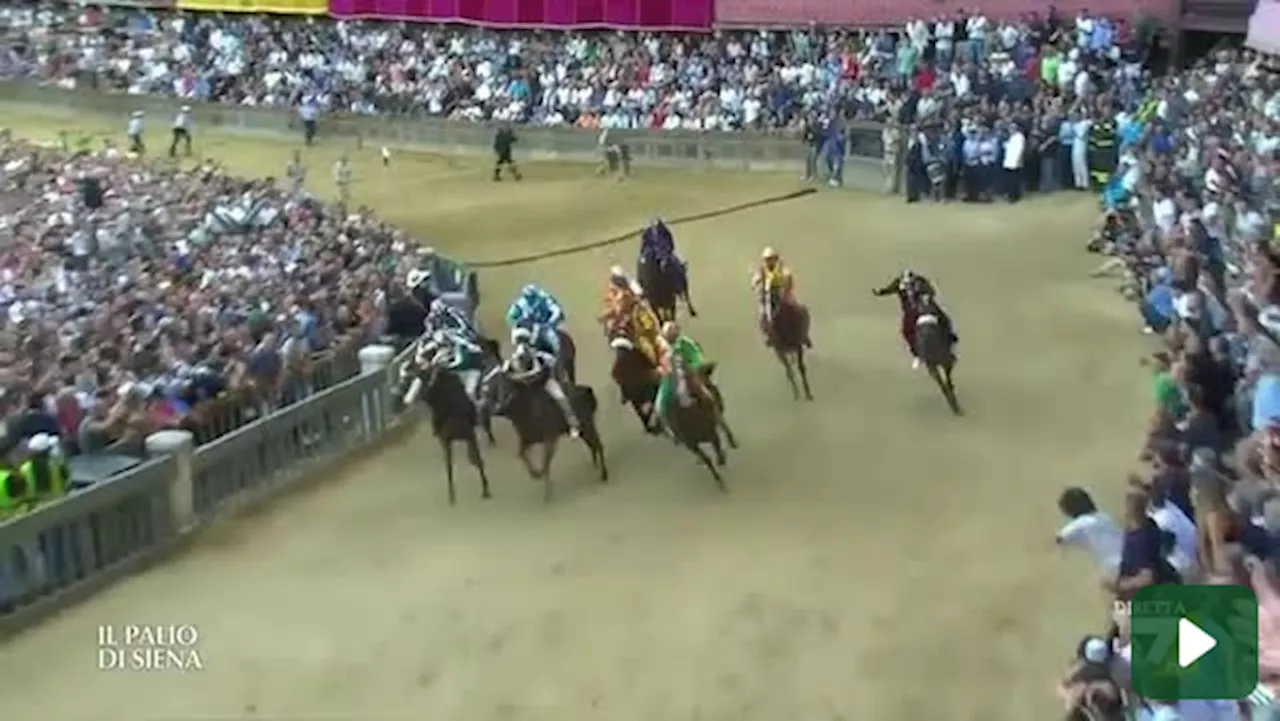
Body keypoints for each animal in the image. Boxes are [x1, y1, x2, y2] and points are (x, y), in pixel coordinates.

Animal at [399, 353, 488, 502]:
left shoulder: (463, 436)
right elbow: (452, 466)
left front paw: (485, 490)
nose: (405, 367)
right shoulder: (448, 438)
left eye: (422, 368)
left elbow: (475, 460)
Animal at [483, 366, 614, 502]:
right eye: (489, 388)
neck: (526, 410)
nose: (497, 408)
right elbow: (521, 454)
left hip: (588, 425)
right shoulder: (527, 439)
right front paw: (535, 474)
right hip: (583, 430)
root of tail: (587, 390)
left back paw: (604, 474)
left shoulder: (550, 439)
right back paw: (595, 465)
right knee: (593, 445)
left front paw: (545, 488)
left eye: (506, 384)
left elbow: (545, 463)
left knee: (598, 444)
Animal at [665, 356, 737, 494]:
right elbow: (707, 460)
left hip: (718, 410)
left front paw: (722, 461)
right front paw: (719, 481)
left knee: (722, 423)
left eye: (692, 378)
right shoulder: (690, 444)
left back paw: (732, 443)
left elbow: (717, 450)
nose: (707, 396)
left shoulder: (712, 433)